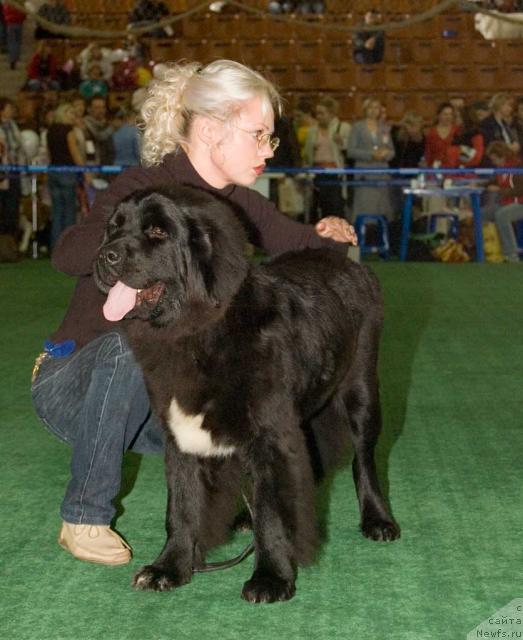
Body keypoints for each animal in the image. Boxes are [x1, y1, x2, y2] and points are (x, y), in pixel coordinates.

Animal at [94, 186, 400, 604]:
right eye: (113, 228)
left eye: (158, 231)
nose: (105, 255)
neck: (200, 331)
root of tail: (347, 262)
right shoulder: (181, 431)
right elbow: (182, 505)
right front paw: (169, 567)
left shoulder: (268, 433)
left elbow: (271, 507)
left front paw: (271, 578)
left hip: (362, 388)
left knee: (364, 459)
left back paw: (377, 519)